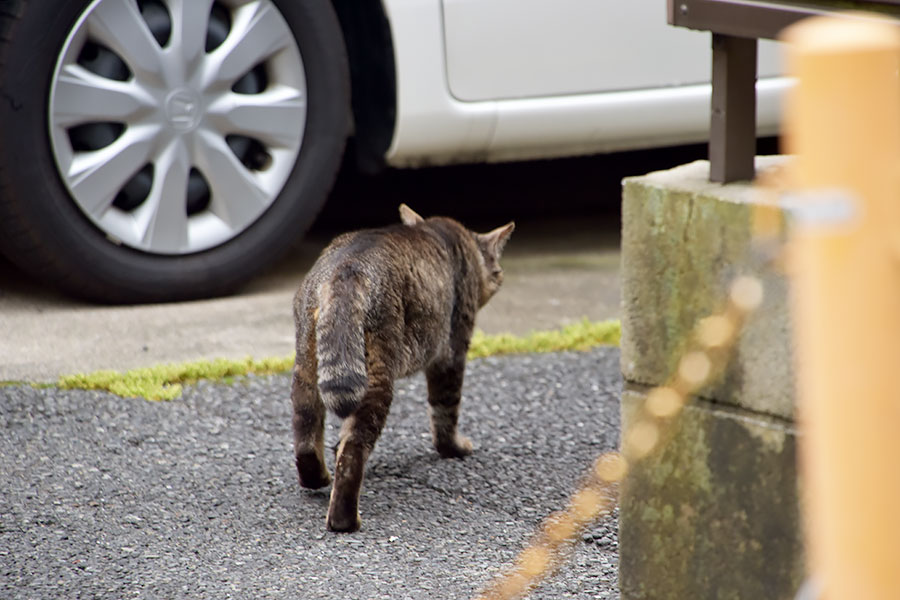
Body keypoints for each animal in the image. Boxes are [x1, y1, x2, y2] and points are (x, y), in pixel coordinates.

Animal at [288, 205, 512, 528]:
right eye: (497, 270)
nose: (499, 276)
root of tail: (347, 268)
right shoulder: (452, 353)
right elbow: (445, 411)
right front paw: (454, 449)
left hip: (307, 366)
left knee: (305, 436)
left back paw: (317, 477)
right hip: (377, 376)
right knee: (353, 451)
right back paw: (345, 520)